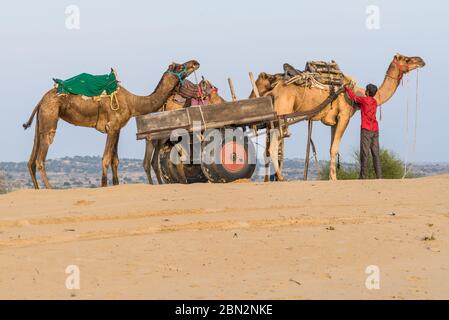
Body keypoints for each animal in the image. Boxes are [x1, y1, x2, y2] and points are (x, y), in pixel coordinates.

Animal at [23, 59, 199, 188]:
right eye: (179, 66)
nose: (195, 62)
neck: (133, 102)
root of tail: (41, 100)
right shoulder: (112, 126)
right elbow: (106, 158)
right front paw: (104, 186)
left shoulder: (118, 128)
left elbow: (115, 160)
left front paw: (115, 185)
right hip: (50, 115)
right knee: (40, 158)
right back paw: (50, 189)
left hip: (41, 120)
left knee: (31, 159)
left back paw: (37, 189)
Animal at [252, 53, 424, 181]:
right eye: (406, 59)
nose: (421, 60)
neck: (359, 94)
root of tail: (274, 91)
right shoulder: (344, 116)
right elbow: (335, 148)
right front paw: (334, 178)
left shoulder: (333, 121)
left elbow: (331, 148)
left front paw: (331, 177)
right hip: (281, 116)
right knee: (273, 147)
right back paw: (281, 177)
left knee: (269, 148)